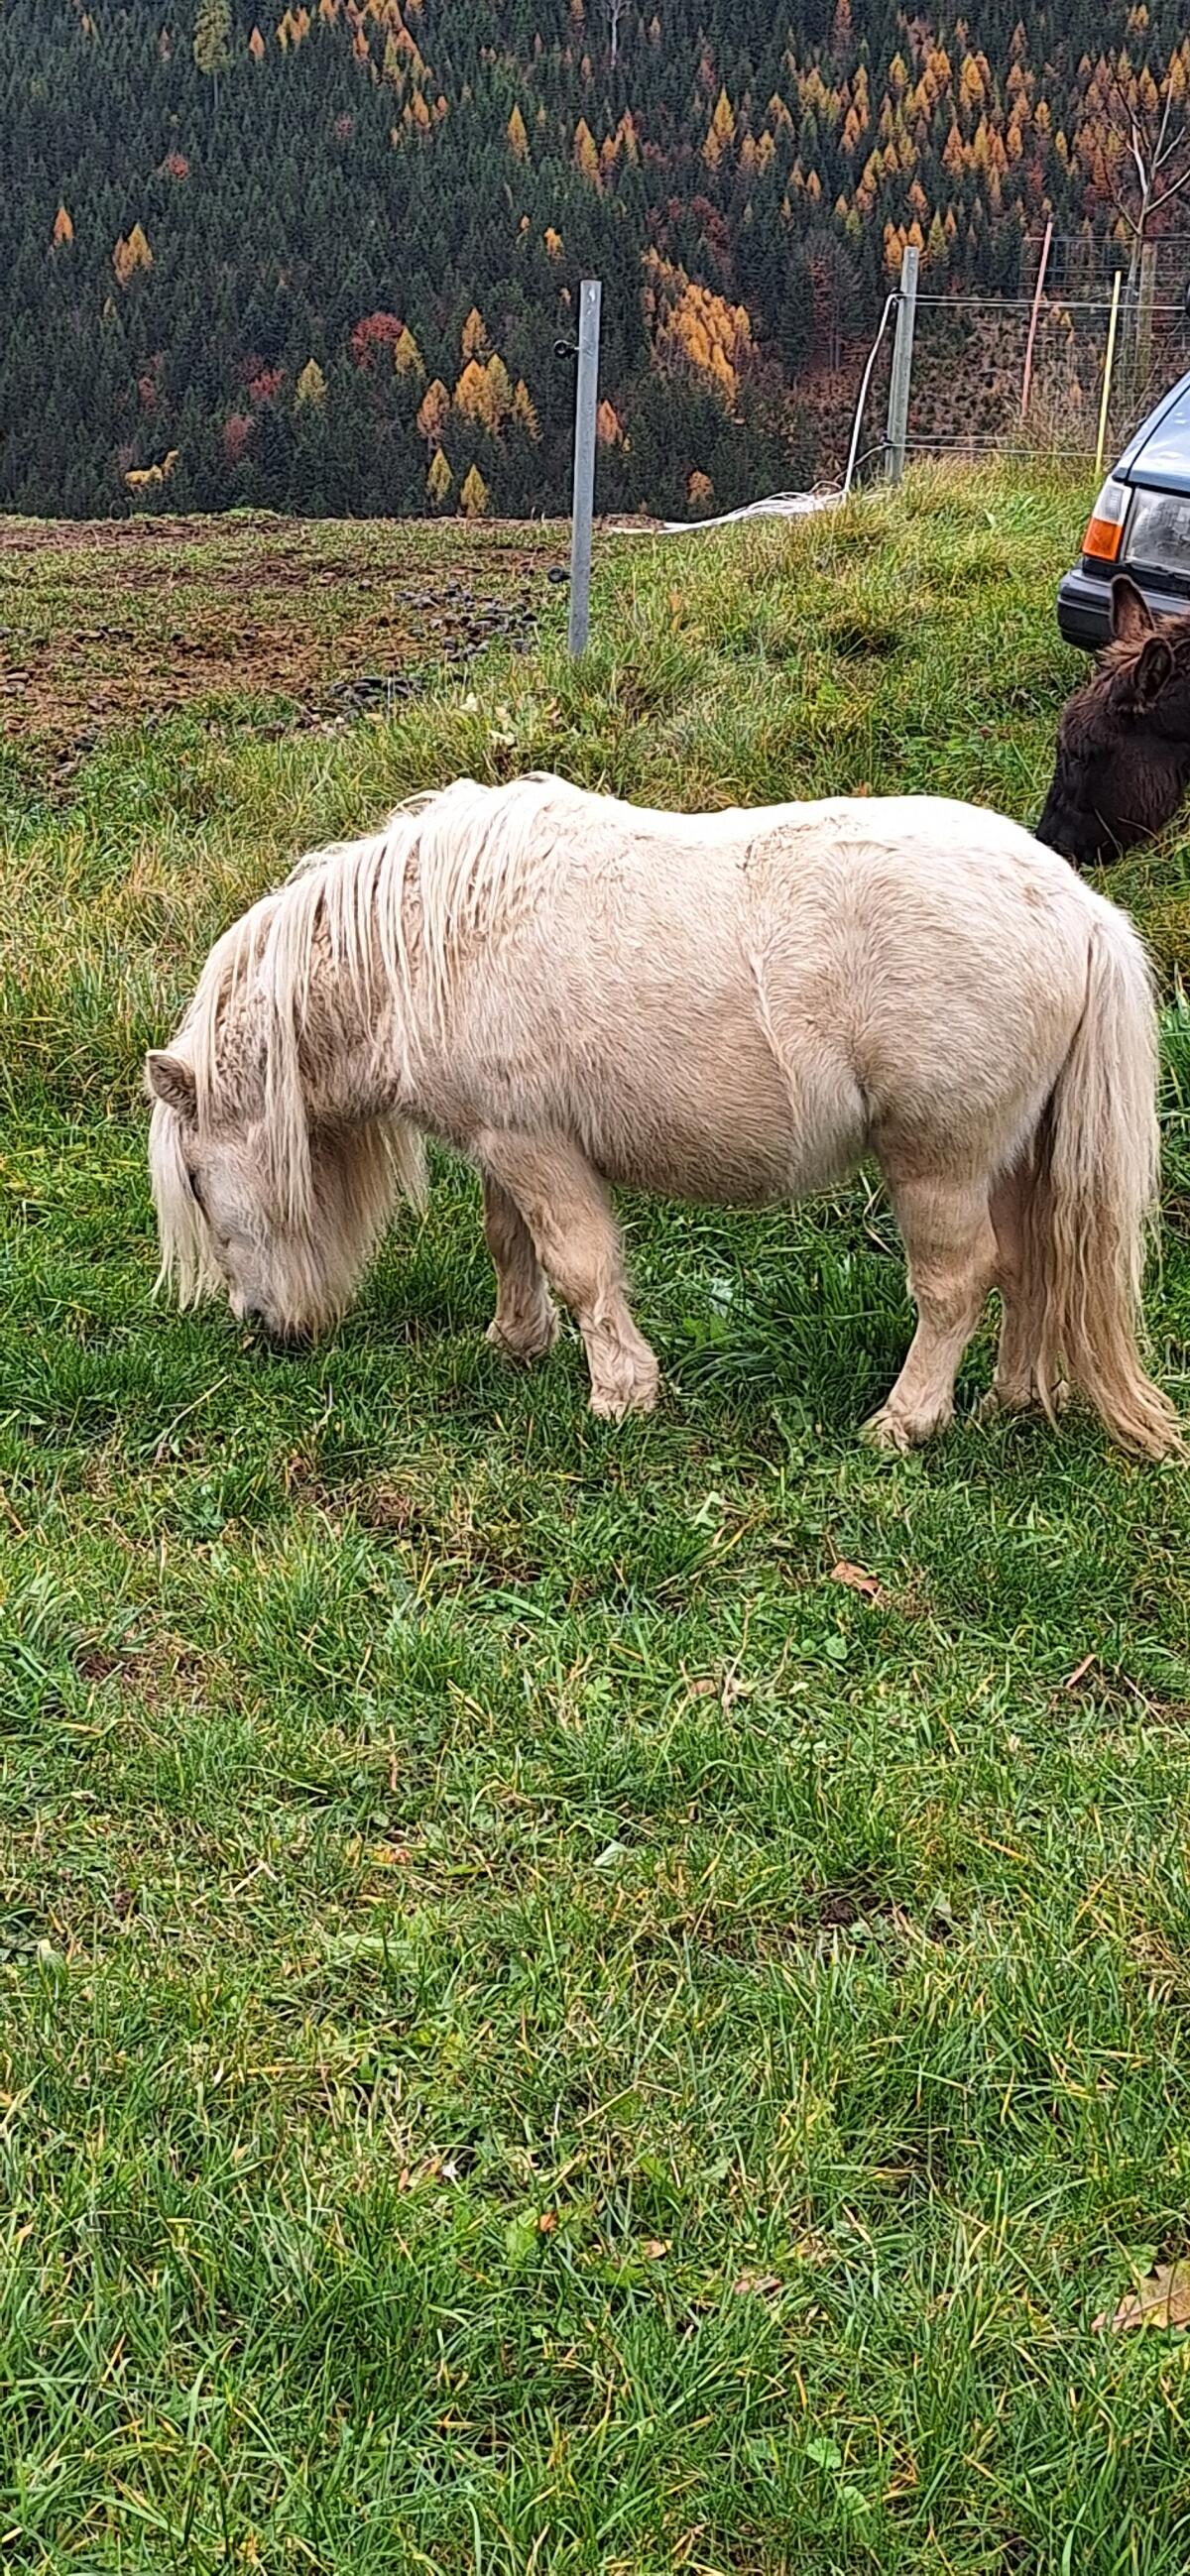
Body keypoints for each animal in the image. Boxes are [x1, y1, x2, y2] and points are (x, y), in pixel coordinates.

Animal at [146, 773, 1180, 1458]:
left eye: (196, 1177)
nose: (261, 1326)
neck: (426, 943)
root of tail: (1082, 911)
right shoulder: (500, 1145)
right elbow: (509, 1243)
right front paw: (514, 1343)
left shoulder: (536, 1148)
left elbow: (579, 1266)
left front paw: (619, 1395)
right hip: (1012, 1157)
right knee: (1034, 1267)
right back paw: (1010, 1400)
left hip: (942, 1159)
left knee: (960, 1283)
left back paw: (907, 1420)